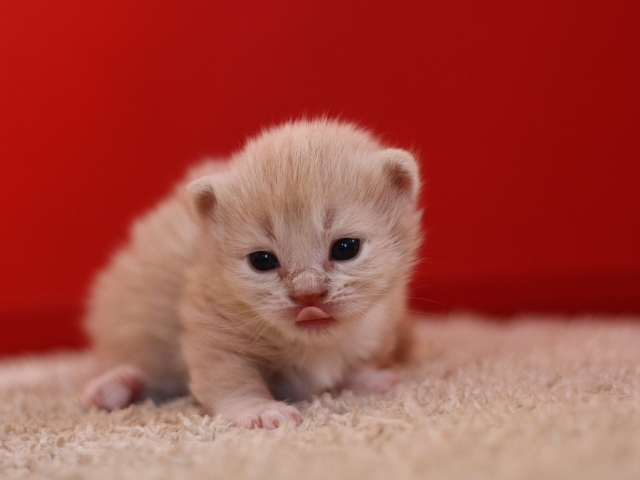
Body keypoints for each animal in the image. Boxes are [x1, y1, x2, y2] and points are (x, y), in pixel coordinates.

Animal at [82, 118, 422, 430]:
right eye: (262, 260)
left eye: (346, 248)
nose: (307, 294)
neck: (316, 346)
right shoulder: (212, 331)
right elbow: (232, 378)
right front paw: (261, 410)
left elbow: (361, 362)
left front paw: (368, 380)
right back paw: (111, 388)